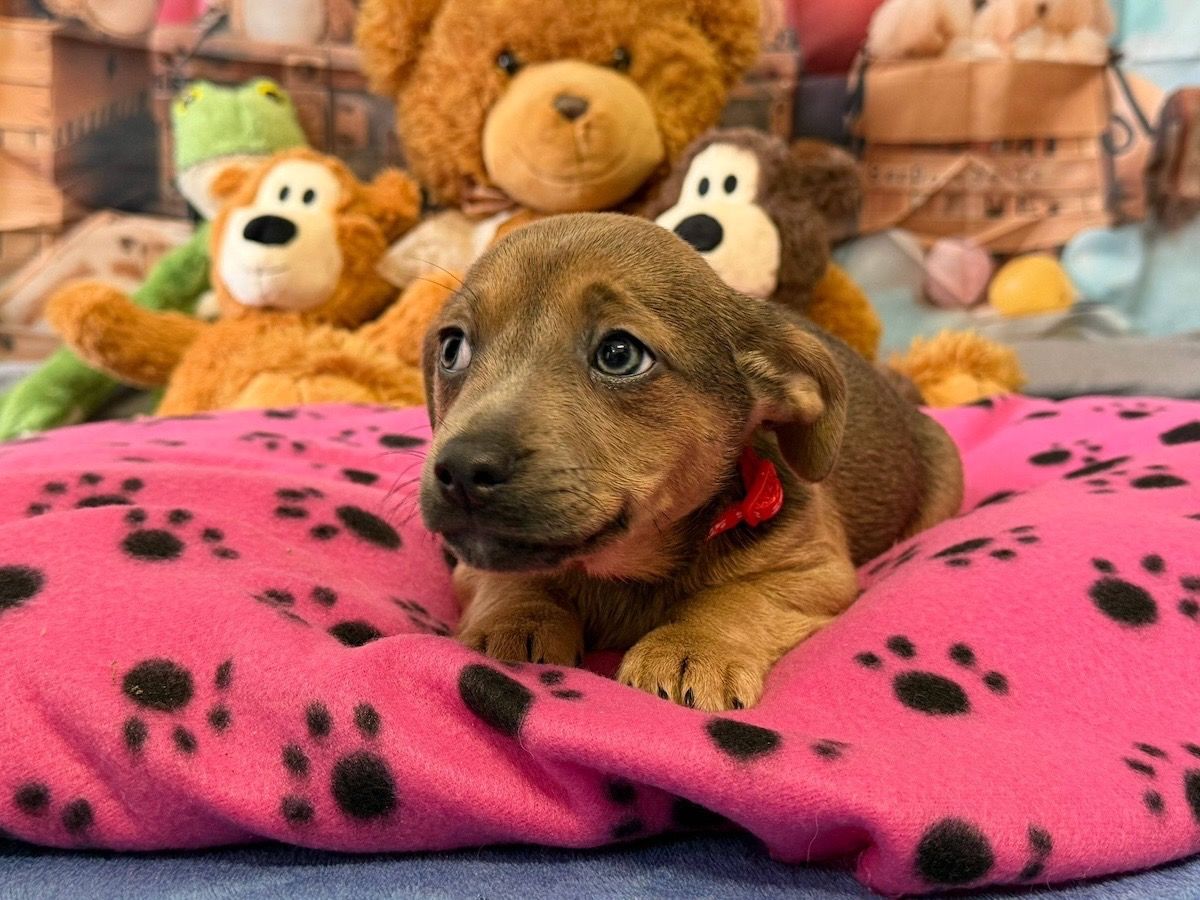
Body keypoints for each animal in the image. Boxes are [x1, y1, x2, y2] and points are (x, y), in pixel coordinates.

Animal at [419, 213, 963, 711]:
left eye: (619, 354)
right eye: (452, 348)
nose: (462, 470)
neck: (625, 572)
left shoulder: (816, 572)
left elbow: (735, 597)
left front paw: (690, 646)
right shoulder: (473, 566)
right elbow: (510, 579)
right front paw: (516, 621)